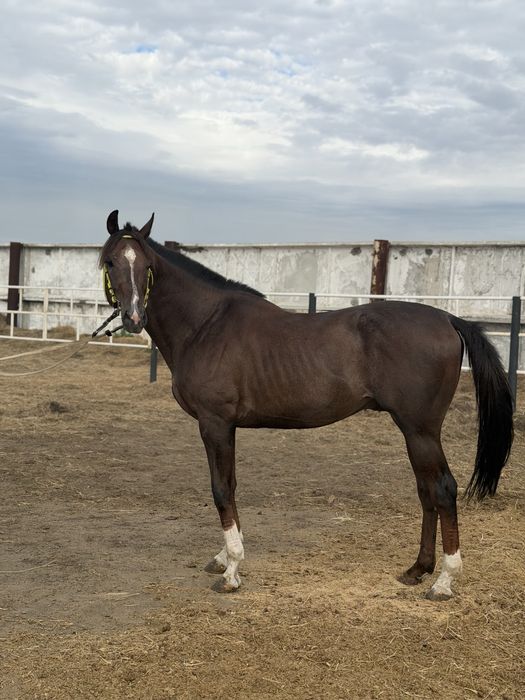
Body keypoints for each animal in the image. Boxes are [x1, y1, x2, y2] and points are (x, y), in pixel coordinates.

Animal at [99, 210, 513, 600]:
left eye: (147, 266)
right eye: (111, 262)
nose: (133, 317)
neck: (206, 325)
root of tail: (447, 317)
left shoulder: (215, 423)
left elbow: (221, 489)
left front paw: (232, 571)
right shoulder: (223, 427)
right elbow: (230, 484)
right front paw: (223, 558)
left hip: (420, 430)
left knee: (442, 489)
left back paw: (443, 581)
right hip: (415, 433)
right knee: (426, 491)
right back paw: (417, 569)